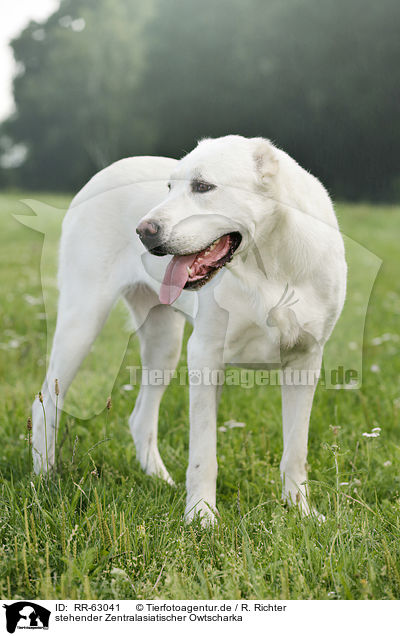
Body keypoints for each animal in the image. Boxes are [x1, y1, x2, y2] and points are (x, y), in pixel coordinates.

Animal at [31, 134, 346, 520]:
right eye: (169, 187)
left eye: (203, 187)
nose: (143, 231)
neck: (268, 263)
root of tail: (105, 171)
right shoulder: (205, 356)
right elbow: (203, 454)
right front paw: (201, 516)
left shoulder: (305, 361)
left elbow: (296, 451)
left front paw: (301, 511)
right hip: (82, 321)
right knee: (46, 403)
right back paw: (44, 480)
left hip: (164, 343)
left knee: (140, 417)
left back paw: (158, 479)